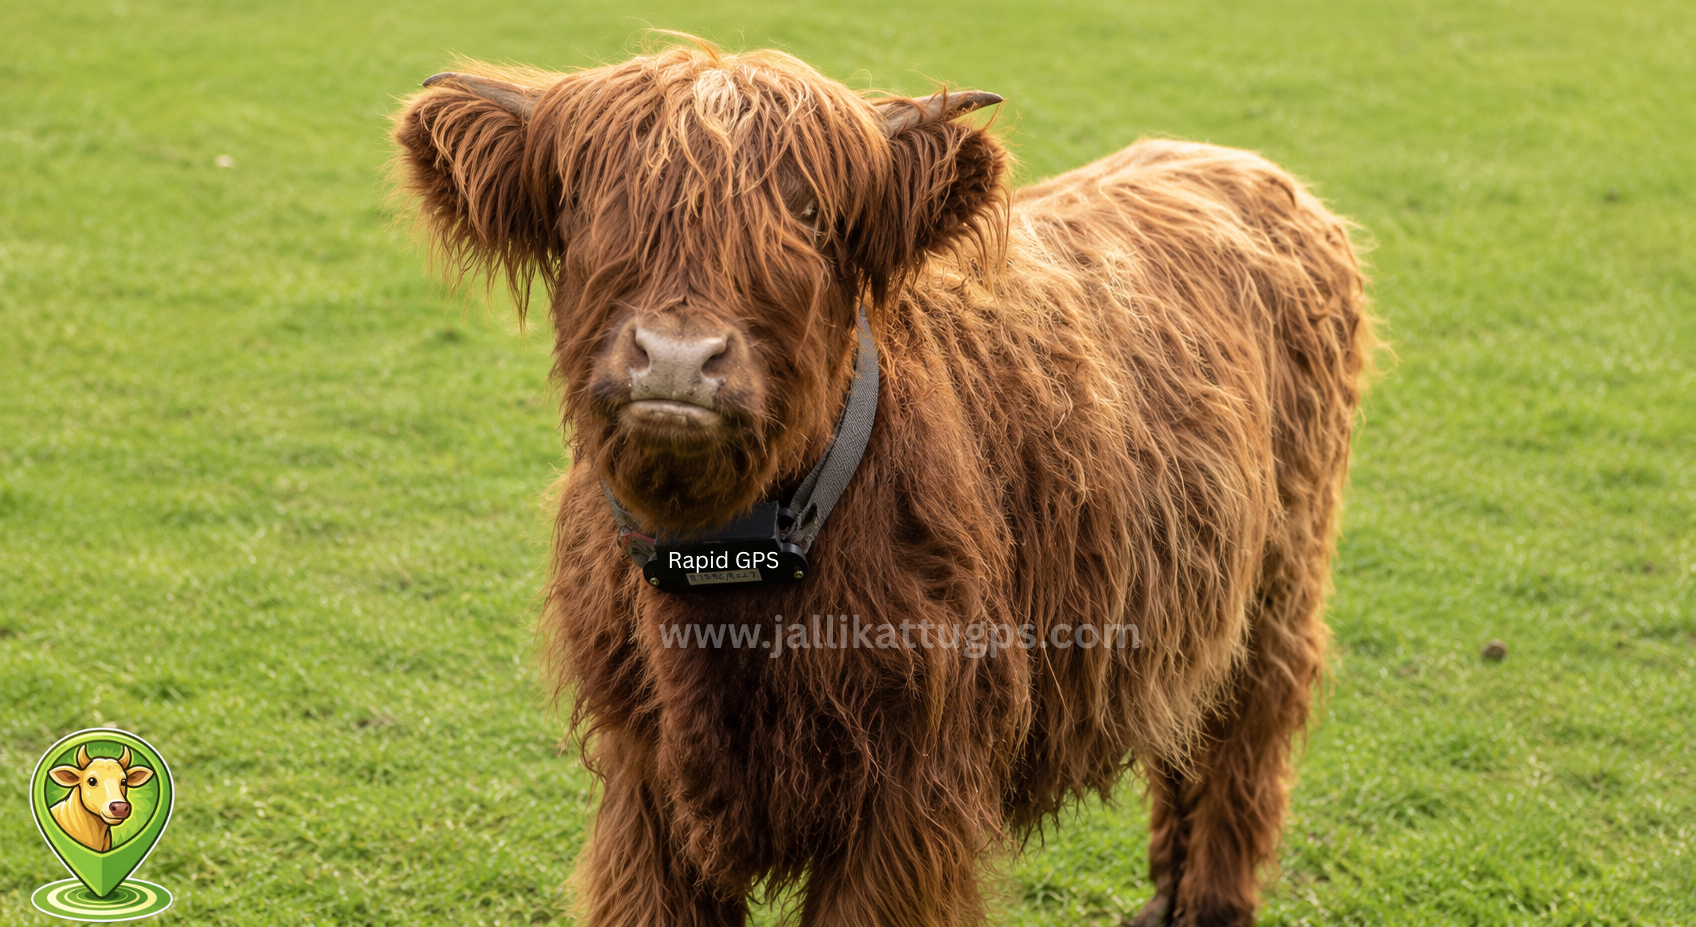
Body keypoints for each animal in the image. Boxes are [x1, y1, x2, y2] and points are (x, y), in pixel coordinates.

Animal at [393, 40, 1372, 927]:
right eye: (587, 207)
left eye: (811, 218)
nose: (675, 357)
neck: (730, 573)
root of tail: (1233, 162)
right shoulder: (647, 784)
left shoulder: (908, 794)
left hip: (1282, 580)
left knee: (1246, 734)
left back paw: (1210, 900)